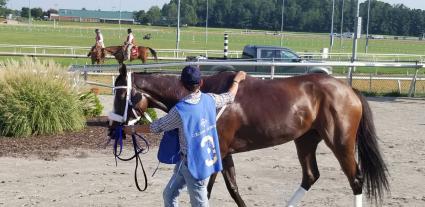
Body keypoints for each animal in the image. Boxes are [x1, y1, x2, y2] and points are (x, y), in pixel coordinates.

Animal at [108, 64, 388, 206]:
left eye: (121, 95)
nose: (112, 130)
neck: (206, 96)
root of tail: (349, 89)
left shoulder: (214, 154)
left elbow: (208, 191)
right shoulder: (224, 154)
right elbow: (233, 188)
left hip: (340, 142)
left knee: (355, 179)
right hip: (305, 139)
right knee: (310, 176)